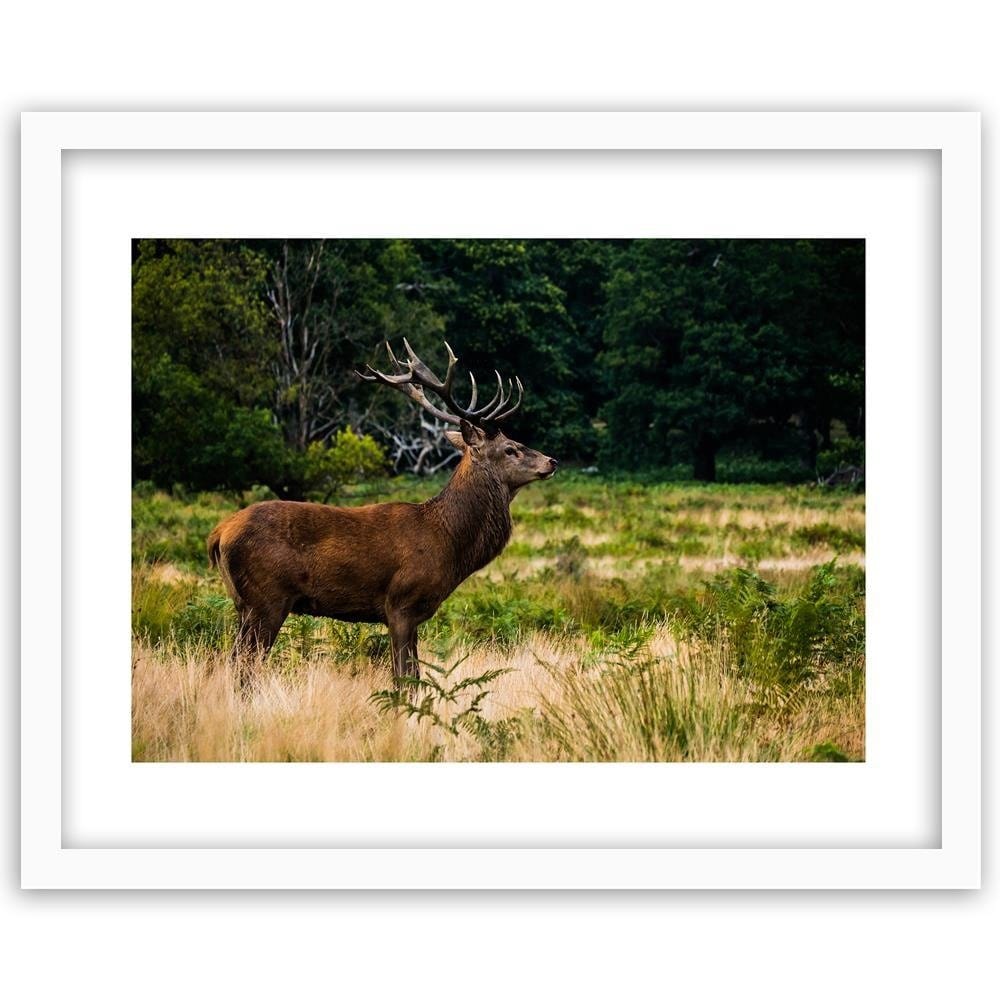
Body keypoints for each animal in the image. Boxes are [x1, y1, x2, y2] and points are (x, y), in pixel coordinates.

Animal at [207, 340, 558, 688]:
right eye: (510, 448)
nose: (551, 461)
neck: (448, 542)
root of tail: (219, 534)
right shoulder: (400, 604)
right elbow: (404, 678)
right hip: (266, 598)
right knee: (244, 667)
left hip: (244, 604)